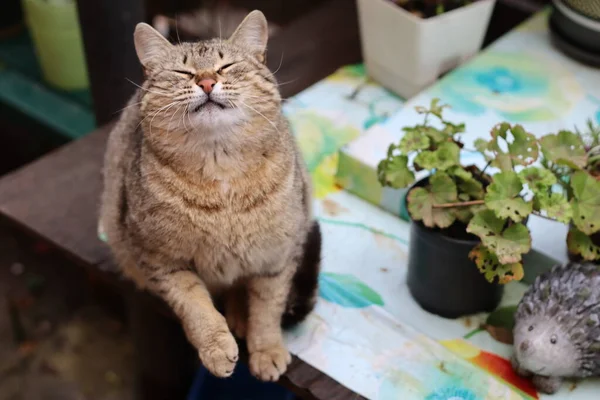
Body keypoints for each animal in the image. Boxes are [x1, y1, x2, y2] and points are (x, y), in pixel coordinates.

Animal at [98, 10, 322, 382]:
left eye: (226, 66)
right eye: (182, 72)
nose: (205, 82)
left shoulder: (277, 257)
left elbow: (267, 308)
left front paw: (267, 349)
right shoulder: (161, 260)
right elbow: (194, 306)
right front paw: (216, 348)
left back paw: (241, 315)